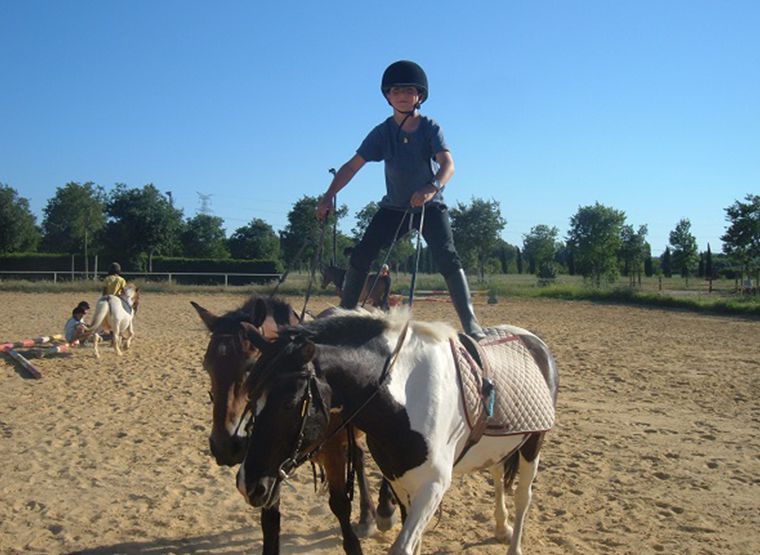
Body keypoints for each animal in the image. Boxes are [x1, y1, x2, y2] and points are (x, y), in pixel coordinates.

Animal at [190, 296, 380, 555]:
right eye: (206, 366)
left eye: (250, 367)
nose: (224, 446)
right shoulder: (268, 465)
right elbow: (270, 519)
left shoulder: (332, 453)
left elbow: (340, 505)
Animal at [238, 310, 560, 555]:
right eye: (250, 398)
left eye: (290, 403)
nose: (248, 484)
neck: (405, 396)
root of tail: (532, 341)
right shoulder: (399, 480)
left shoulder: (433, 486)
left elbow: (403, 547)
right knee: (497, 473)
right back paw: (501, 526)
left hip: (534, 442)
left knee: (523, 496)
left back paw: (514, 543)